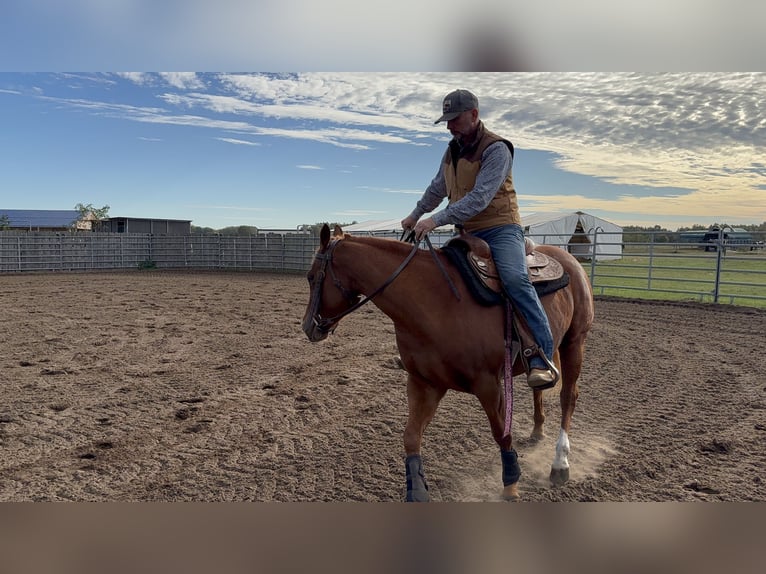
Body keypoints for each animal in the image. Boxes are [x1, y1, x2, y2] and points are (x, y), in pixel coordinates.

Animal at [302, 224, 594, 501]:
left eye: (311, 276)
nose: (308, 327)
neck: (437, 302)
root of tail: (569, 260)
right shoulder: (425, 383)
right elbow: (411, 437)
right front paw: (417, 491)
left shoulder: (489, 384)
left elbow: (502, 433)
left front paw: (511, 485)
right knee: (539, 389)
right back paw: (537, 431)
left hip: (574, 342)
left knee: (568, 397)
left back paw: (560, 465)